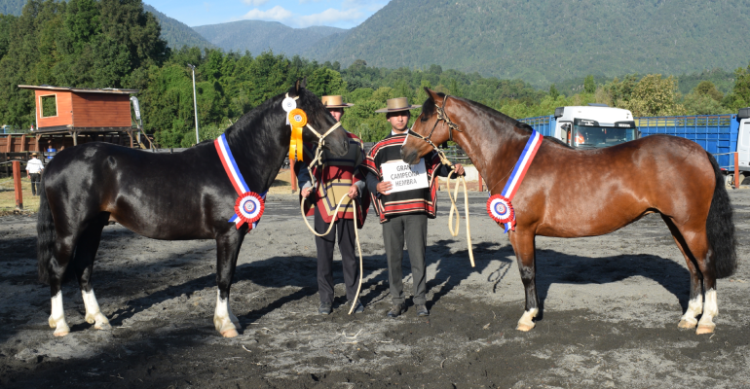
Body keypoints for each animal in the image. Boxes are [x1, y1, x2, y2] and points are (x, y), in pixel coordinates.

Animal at [36, 81, 352, 336]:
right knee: (58, 268)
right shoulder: (227, 234)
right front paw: (225, 324)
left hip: (94, 227)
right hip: (70, 231)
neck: (241, 159)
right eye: (312, 112)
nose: (346, 144)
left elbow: (228, 276)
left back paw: (99, 319)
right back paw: (61, 325)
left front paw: (231, 318)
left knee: (83, 267)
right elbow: (224, 277)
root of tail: (55, 161)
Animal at [402, 88, 736, 334]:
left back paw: (706, 321)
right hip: (675, 223)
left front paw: (527, 317)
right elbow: (532, 271)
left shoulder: (522, 231)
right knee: (693, 267)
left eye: (424, 116)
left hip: (690, 225)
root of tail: (700, 151)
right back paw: (689, 317)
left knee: (706, 264)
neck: (509, 154)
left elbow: (526, 272)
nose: (405, 152)